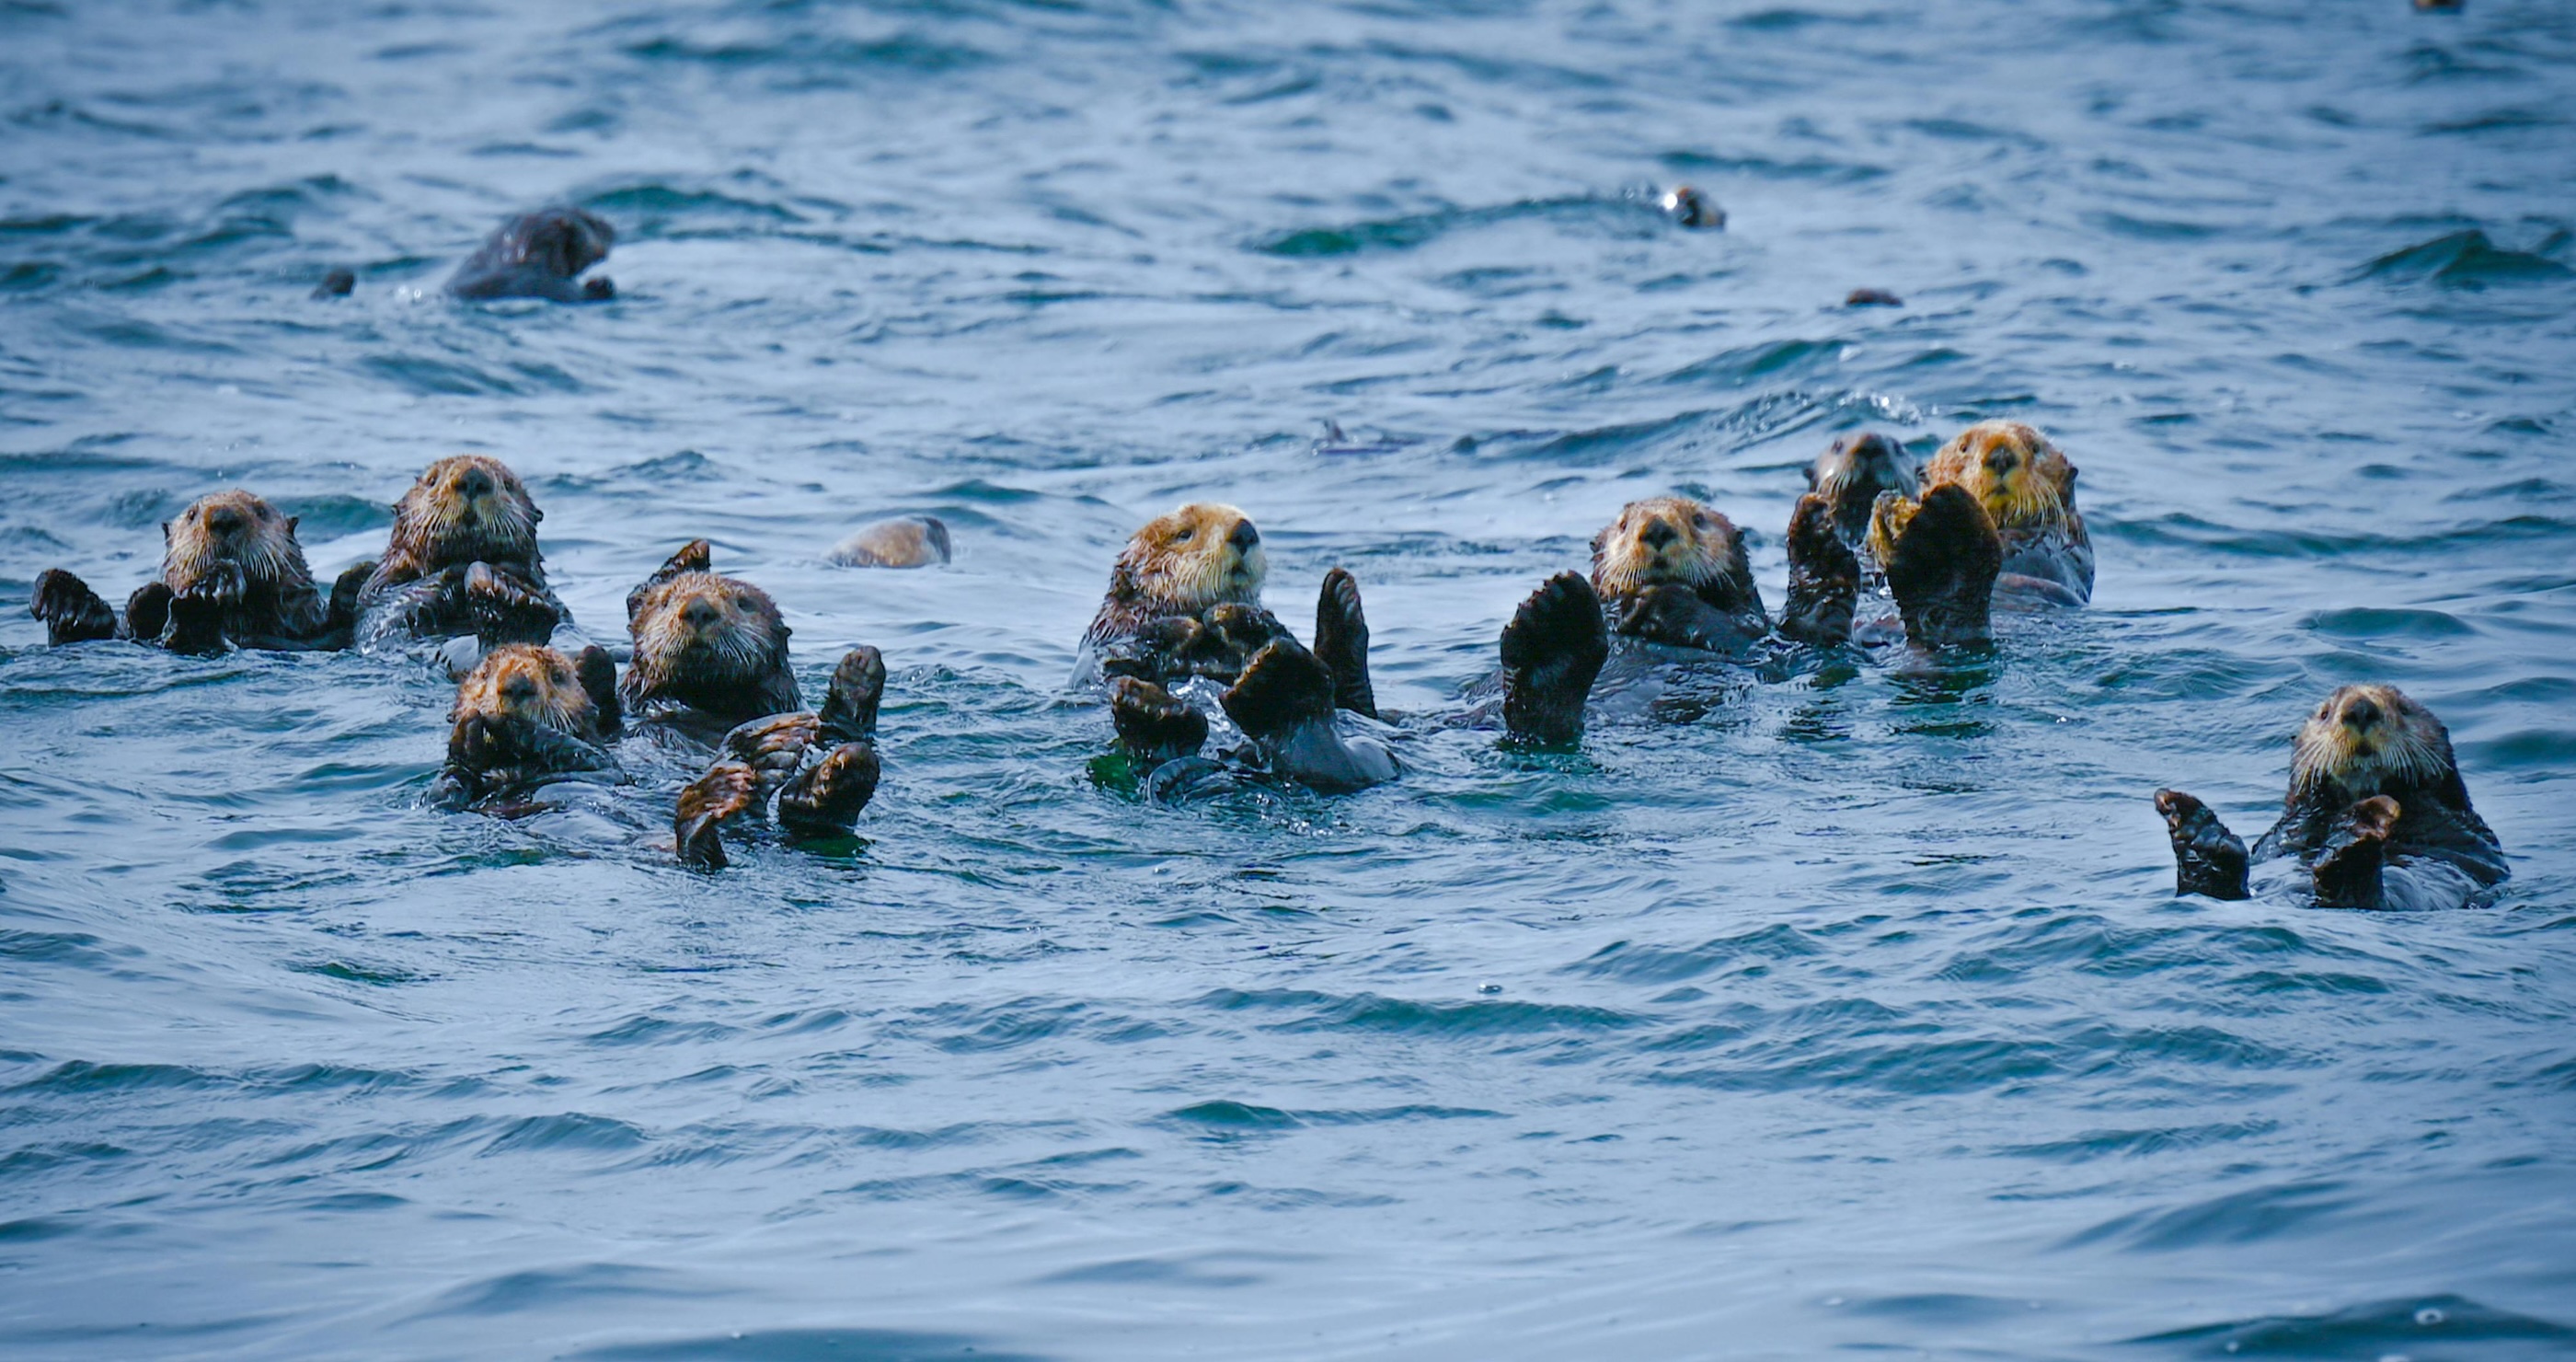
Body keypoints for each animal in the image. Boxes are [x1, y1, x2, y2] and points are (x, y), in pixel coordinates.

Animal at [355, 455, 570, 653]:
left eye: (508, 485)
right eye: (432, 480)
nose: (473, 477)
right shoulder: (379, 590)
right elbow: (385, 612)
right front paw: (462, 571)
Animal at [430, 642, 622, 807]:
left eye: (557, 676)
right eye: (485, 675)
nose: (516, 684)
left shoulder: (606, 764)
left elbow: (586, 753)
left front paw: (503, 721)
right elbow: (441, 795)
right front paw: (466, 732)